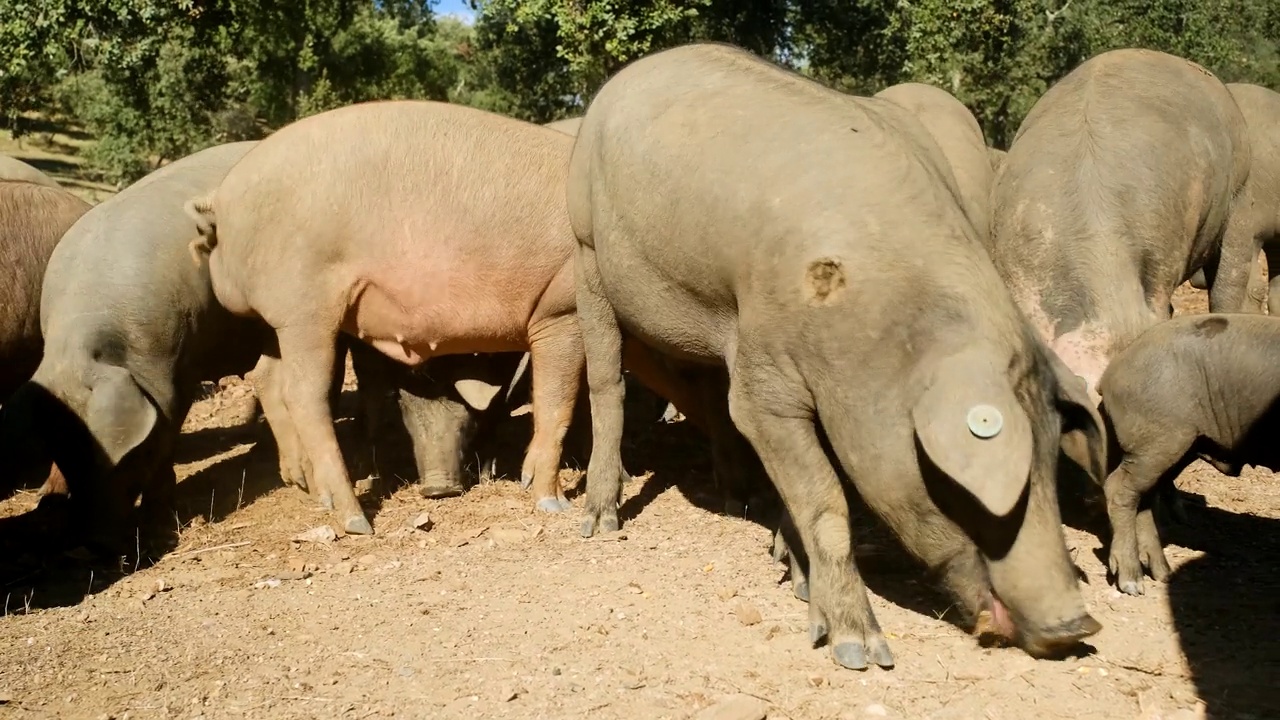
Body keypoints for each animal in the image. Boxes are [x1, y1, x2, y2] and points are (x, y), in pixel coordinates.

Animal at [186, 98, 711, 530]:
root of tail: (220, 201)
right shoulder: (559, 310)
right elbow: (556, 402)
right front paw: (550, 501)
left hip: (276, 319)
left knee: (267, 378)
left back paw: (312, 493)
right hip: (305, 306)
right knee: (305, 395)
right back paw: (355, 520)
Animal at [565, 43, 1105, 666]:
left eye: (1049, 461)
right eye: (960, 484)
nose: (1076, 626)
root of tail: (618, 83)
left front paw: (794, 574)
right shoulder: (765, 379)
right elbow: (825, 502)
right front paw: (858, 650)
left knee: (708, 396)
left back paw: (739, 499)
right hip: (586, 251)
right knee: (608, 383)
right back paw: (600, 521)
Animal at [1095, 313, 1280, 594]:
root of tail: (1109, 374)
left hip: (1182, 445)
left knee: (1145, 496)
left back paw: (1163, 574)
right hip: (1157, 440)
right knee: (1119, 488)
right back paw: (1132, 583)